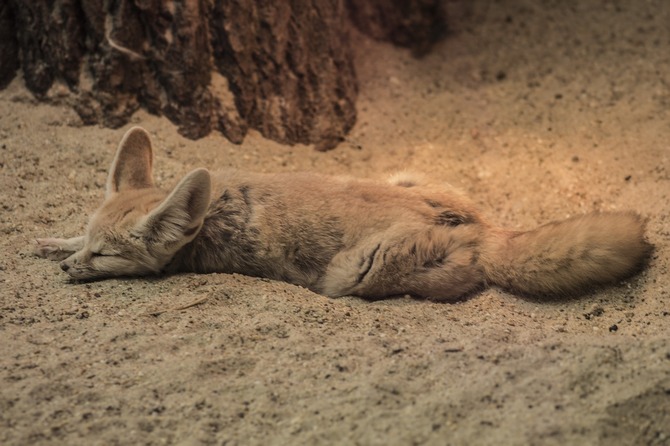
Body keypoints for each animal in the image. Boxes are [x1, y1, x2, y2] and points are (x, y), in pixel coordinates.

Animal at [35, 127, 652, 302]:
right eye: (90, 242)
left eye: (107, 256)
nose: (68, 271)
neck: (209, 215)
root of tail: (488, 230)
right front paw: (51, 243)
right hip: (409, 173)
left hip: (352, 274)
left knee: (462, 280)